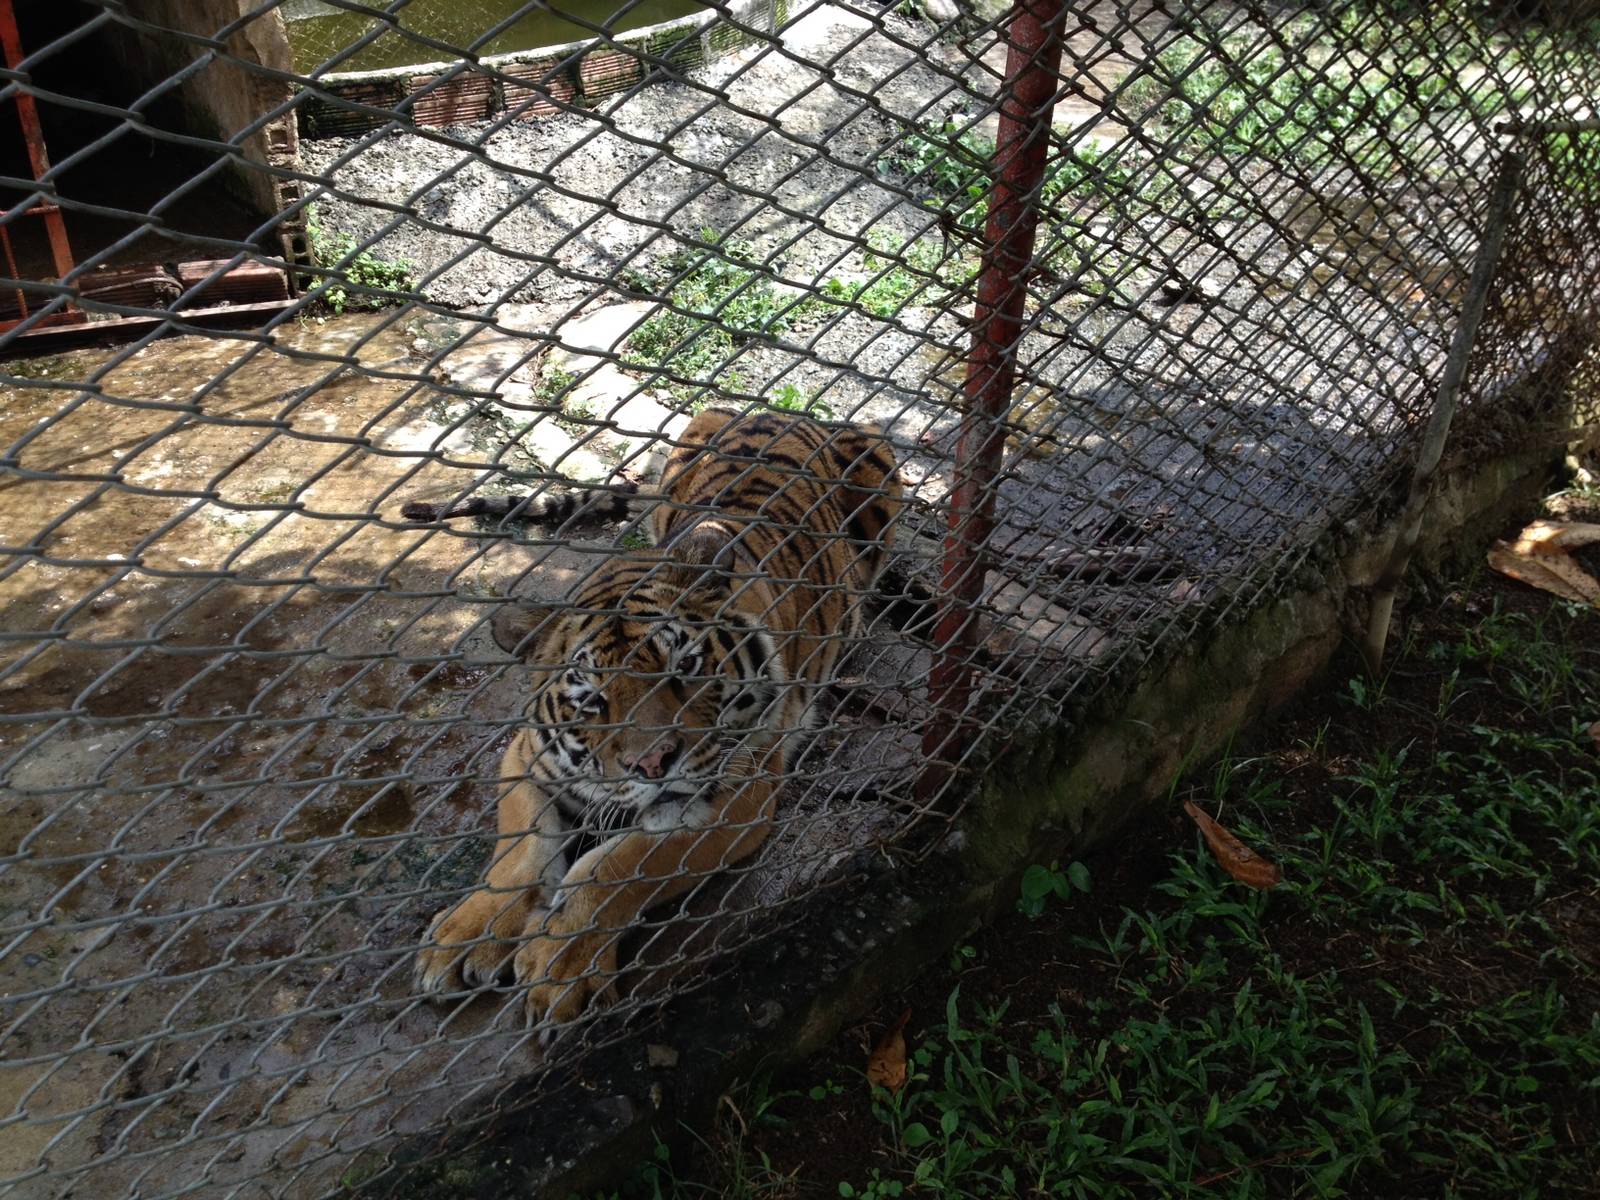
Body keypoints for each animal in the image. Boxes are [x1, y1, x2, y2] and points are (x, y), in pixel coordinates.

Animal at [413, 407, 906, 1030]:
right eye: (592, 700)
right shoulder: (529, 755)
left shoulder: (736, 799)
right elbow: (521, 846)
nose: (654, 762)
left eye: (686, 666)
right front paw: (466, 936)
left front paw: (559, 965)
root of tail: (789, 412)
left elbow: (620, 866)